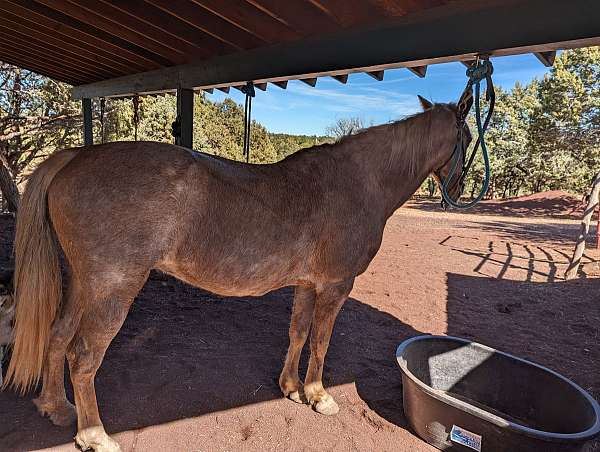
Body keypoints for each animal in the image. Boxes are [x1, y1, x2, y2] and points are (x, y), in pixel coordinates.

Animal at [3, 93, 474, 450]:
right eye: (468, 136)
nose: (458, 189)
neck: (357, 182)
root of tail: (74, 158)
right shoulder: (336, 286)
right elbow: (321, 341)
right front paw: (319, 396)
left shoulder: (307, 285)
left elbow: (298, 333)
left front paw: (290, 387)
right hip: (112, 290)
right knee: (83, 356)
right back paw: (95, 435)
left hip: (82, 284)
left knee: (58, 336)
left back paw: (56, 407)